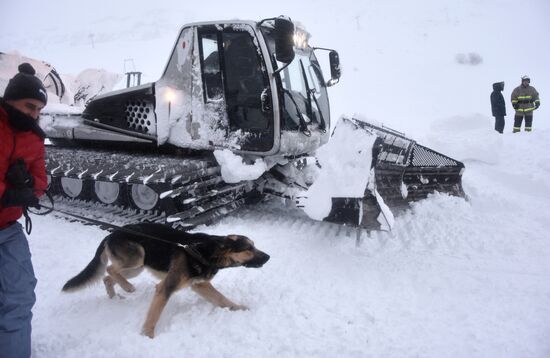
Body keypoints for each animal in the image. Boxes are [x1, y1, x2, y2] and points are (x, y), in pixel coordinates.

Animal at [62, 224, 270, 338]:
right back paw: (127, 288)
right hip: (137, 258)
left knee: (107, 277)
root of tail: (111, 234)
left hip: (137, 267)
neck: (207, 251)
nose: (268, 257)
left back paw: (115, 297)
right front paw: (147, 336)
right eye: (248, 249)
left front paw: (238, 308)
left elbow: (222, 299)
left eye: (254, 246)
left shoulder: (200, 285)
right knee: (110, 269)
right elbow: (154, 316)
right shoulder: (166, 287)